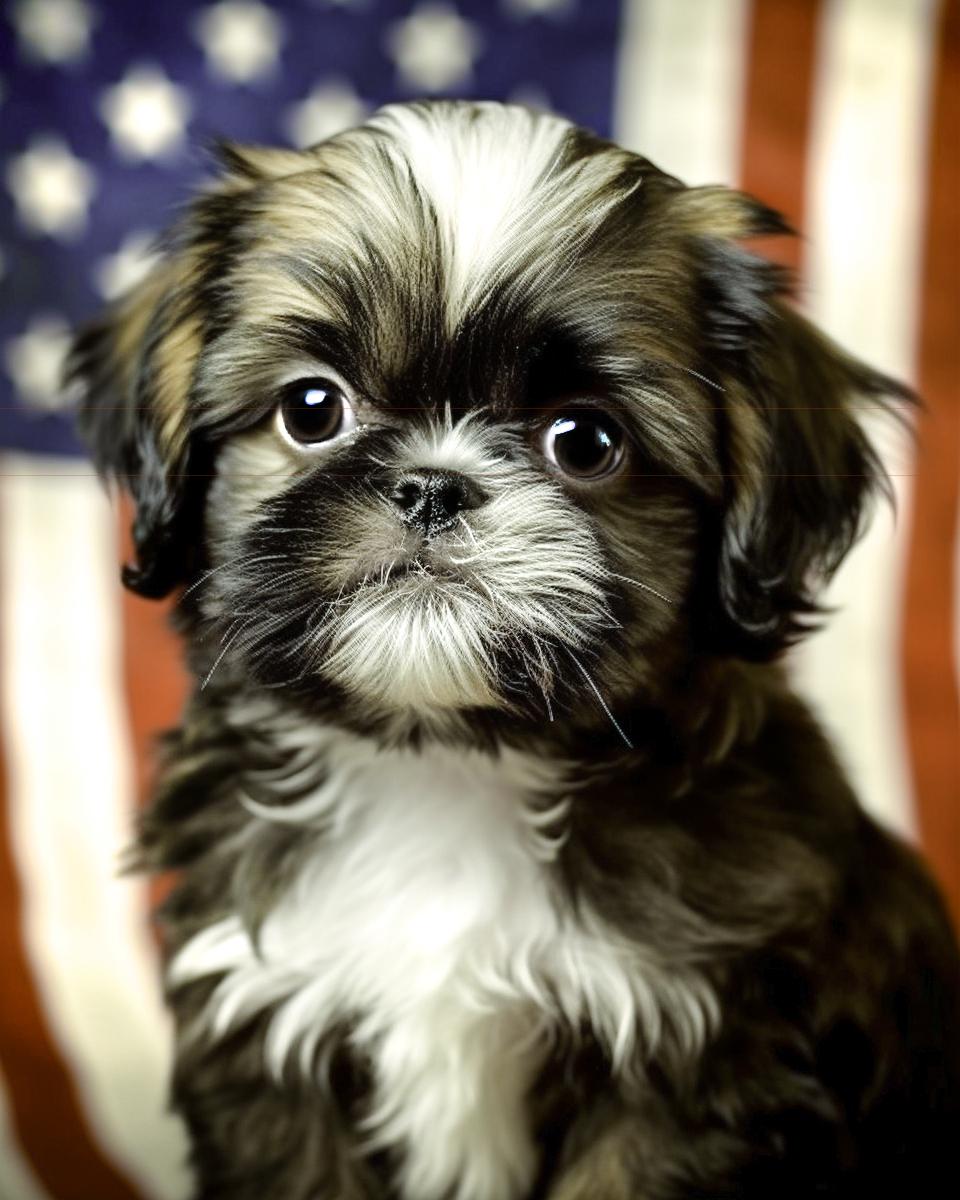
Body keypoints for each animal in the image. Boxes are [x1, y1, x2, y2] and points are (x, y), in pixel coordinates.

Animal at [71, 103, 955, 1200]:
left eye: (585, 441)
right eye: (312, 409)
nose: (432, 487)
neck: (445, 767)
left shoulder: (689, 1063)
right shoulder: (262, 1024)